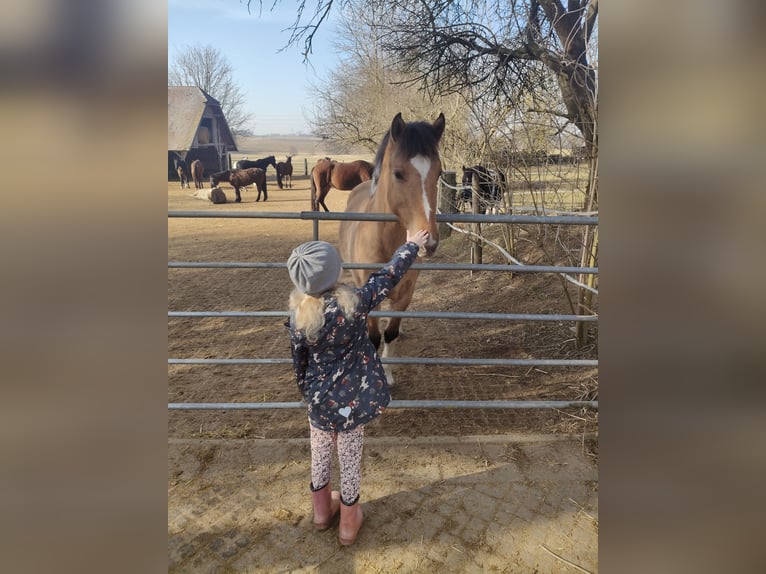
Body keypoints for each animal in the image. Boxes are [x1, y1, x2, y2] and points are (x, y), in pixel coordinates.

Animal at [338, 112, 445, 385]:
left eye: (439, 173)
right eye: (398, 173)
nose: (428, 241)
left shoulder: (406, 292)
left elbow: (391, 332)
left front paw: (387, 373)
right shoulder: (368, 293)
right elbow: (375, 336)